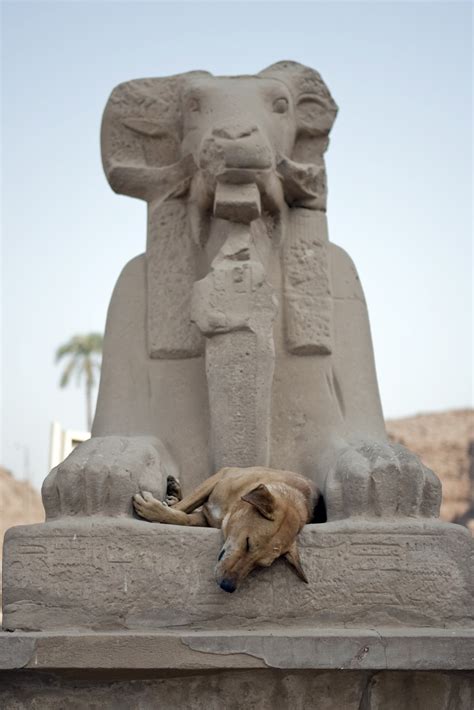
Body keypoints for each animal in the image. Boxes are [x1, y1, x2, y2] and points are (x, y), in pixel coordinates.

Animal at [133, 468, 318, 596]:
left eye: (261, 565)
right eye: (248, 543)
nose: (227, 586)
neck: (231, 508)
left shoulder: (205, 519)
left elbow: (184, 517)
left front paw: (160, 511)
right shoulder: (221, 475)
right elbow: (185, 506)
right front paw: (154, 509)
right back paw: (173, 492)